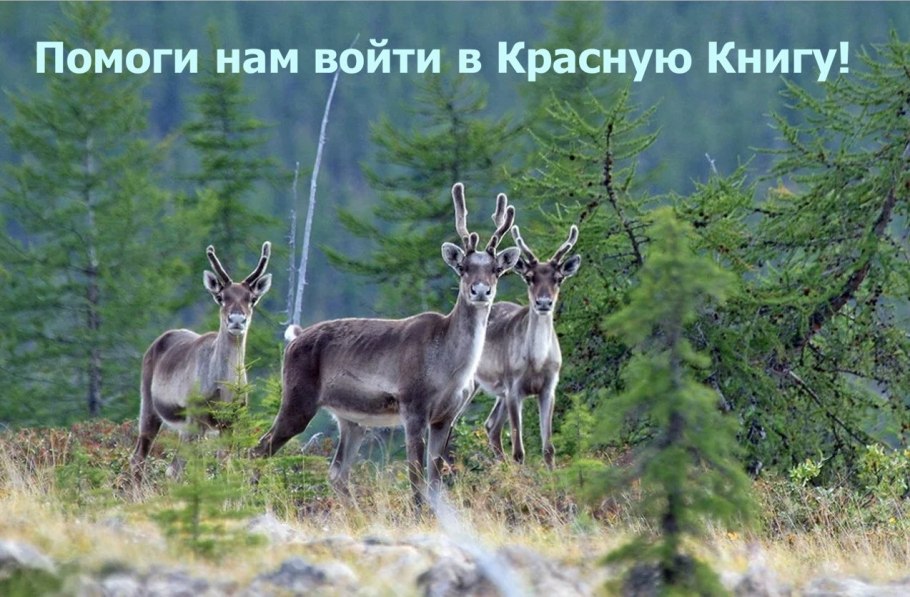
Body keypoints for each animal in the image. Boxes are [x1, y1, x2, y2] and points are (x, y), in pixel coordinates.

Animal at [130, 242, 272, 483]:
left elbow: (224, 464)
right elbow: (194, 467)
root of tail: (158, 341)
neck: (223, 389)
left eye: (252, 299)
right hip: (151, 406)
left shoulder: (230, 421)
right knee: (142, 456)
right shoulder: (196, 415)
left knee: (173, 465)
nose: (236, 320)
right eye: (221, 297)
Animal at [252, 183, 520, 507]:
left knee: (337, 473)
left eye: (495, 269)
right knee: (258, 449)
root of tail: (293, 338)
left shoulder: (447, 416)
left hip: (350, 419)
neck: (452, 368)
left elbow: (435, 482)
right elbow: (416, 481)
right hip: (297, 399)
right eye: (464, 268)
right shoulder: (413, 407)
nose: (480, 290)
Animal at [473, 224, 581, 469]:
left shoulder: (549, 386)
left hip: (500, 392)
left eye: (559, 278)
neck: (537, 362)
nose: (543, 303)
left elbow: (549, 448)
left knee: (491, 426)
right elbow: (519, 451)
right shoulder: (514, 388)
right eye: (529, 277)